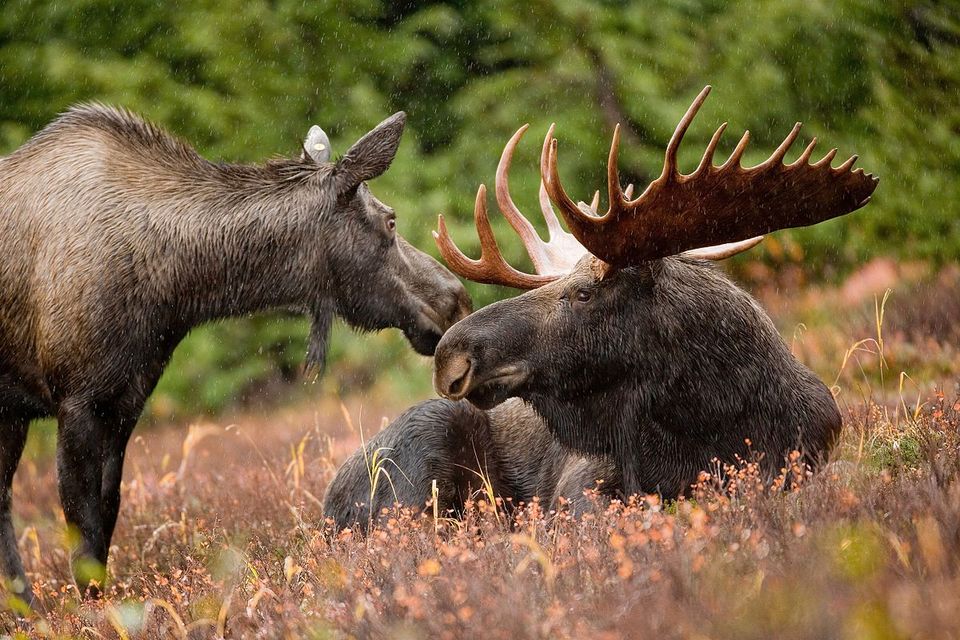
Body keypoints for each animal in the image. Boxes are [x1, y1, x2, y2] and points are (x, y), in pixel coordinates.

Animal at [0, 106, 472, 604]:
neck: (175, 289)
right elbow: (83, 531)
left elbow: (107, 516)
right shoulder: (77, 401)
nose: (455, 299)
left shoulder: (124, 401)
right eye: (390, 220)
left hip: (12, 414)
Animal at [326, 87, 880, 532]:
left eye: (584, 294)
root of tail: (326, 508)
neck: (712, 419)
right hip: (423, 447)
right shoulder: (583, 483)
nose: (451, 355)